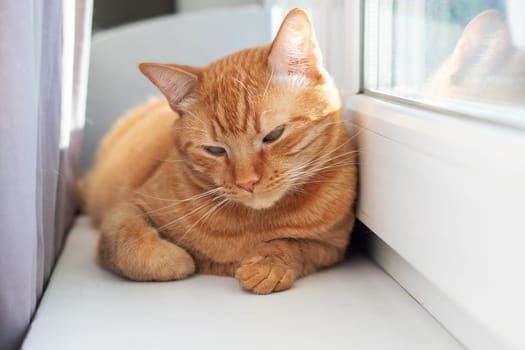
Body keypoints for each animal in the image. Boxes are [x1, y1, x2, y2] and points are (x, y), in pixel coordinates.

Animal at [80, 7, 358, 292]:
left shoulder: (333, 246)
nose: (247, 182)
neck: (253, 222)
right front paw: (174, 259)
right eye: (215, 150)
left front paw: (269, 264)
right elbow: (127, 241)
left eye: (273, 135)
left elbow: (295, 245)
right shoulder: (128, 207)